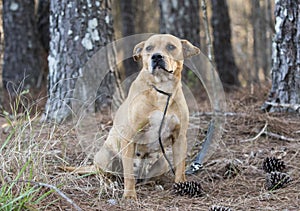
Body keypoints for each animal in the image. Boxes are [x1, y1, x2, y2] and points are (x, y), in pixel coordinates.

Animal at [63, 34, 199, 199]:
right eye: (149, 48)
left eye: (171, 47)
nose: (156, 56)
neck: (161, 89)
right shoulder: (129, 136)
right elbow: (128, 174)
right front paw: (129, 195)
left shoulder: (179, 137)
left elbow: (180, 167)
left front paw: (182, 186)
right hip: (107, 156)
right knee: (104, 174)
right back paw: (111, 183)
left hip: (162, 162)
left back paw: (153, 184)